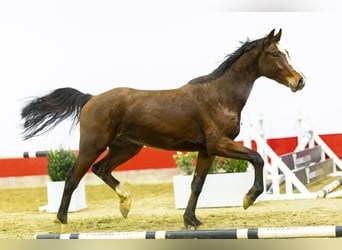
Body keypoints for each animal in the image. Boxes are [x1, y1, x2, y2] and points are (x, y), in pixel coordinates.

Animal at [21, 29, 304, 232]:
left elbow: (197, 184)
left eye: (287, 51)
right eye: (276, 54)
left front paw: (191, 221)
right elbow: (257, 158)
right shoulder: (219, 144)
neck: (219, 96)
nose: (299, 81)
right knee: (73, 177)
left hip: (127, 147)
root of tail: (90, 99)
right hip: (93, 146)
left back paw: (125, 203)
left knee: (101, 169)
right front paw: (248, 198)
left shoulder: (207, 151)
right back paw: (61, 220)